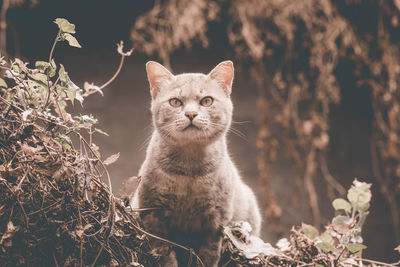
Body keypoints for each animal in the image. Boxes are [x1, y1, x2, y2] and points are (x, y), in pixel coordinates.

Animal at [131, 61, 262, 267]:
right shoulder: (152, 213)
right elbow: (164, 254)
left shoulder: (215, 222)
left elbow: (208, 256)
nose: (191, 113)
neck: (189, 170)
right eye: (175, 102)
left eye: (207, 101)